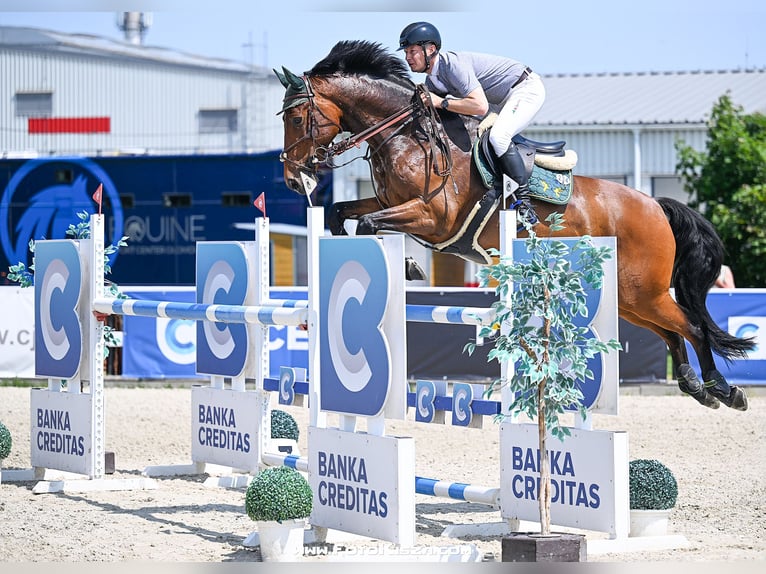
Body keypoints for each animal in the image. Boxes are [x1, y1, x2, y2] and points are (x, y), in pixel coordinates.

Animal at [272, 38, 752, 412]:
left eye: (296, 118)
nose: (294, 179)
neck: (406, 135)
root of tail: (654, 205)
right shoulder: (390, 201)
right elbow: (341, 213)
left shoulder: (431, 217)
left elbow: (371, 223)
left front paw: (409, 267)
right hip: (629, 298)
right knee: (672, 330)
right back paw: (694, 385)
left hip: (642, 291)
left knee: (691, 326)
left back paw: (723, 390)